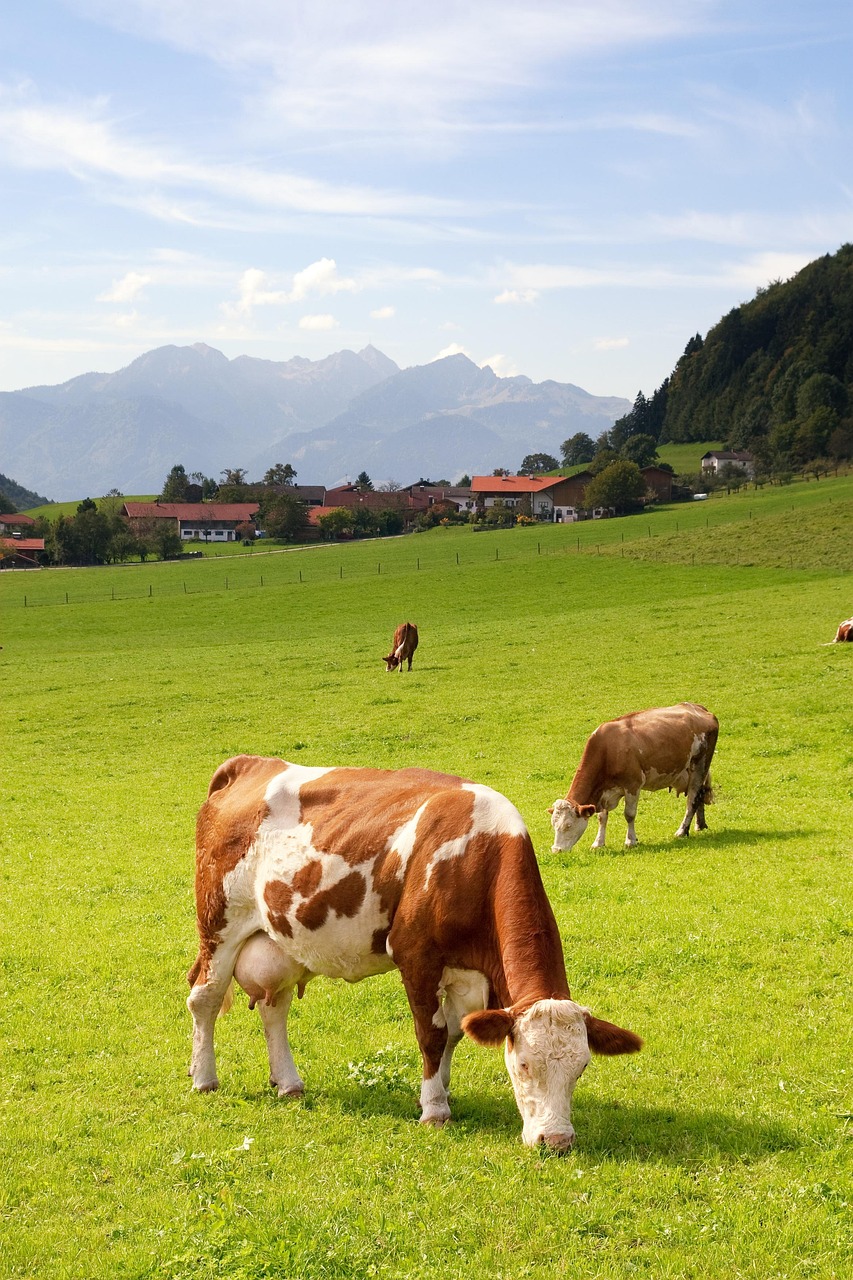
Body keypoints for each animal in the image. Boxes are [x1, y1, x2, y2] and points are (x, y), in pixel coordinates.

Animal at [187, 756, 641, 1149]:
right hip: (219, 923)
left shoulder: (466, 975)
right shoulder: (417, 958)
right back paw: (204, 1078)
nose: (557, 1141)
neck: (476, 857)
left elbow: (454, 1033)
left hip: (278, 939)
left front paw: (440, 1089)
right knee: (204, 999)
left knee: (274, 1008)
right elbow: (431, 1034)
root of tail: (251, 763)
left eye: (582, 1068)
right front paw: (435, 1109)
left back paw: (288, 1082)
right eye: (525, 1064)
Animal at [549, 703, 718, 852]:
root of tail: (698, 708)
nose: (556, 850)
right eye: (553, 825)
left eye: (568, 825)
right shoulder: (604, 792)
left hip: (700, 765)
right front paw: (598, 843)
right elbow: (602, 817)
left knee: (692, 799)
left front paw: (630, 840)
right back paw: (699, 825)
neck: (608, 750)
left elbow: (629, 815)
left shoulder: (633, 785)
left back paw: (682, 831)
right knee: (700, 795)